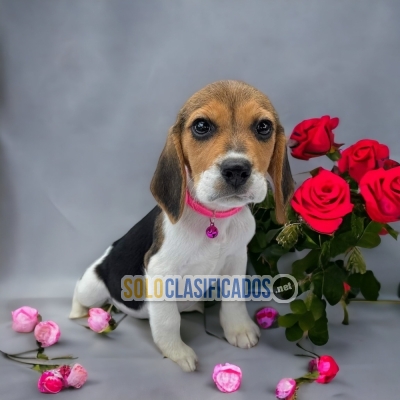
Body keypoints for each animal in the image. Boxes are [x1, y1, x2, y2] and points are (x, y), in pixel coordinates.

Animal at [69, 80, 294, 372]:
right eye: (201, 126)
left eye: (264, 127)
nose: (236, 169)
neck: (215, 218)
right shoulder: (160, 271)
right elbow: (168, 320)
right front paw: (176, 352)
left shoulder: (237, 260)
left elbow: (233, 300)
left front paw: (239, 330)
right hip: (93, 287)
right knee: (80, 294)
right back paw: (77, 314)